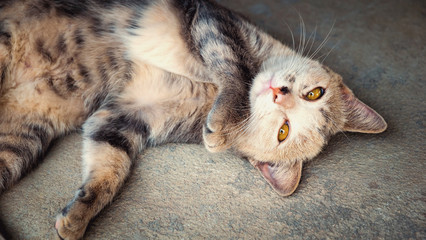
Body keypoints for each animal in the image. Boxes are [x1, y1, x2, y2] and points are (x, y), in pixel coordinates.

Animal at [0, 0, 386, 237]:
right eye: (315, 94)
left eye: (282, 132)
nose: (279, 93)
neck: (205, 92)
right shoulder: (213, 20)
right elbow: (236, 68)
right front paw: (226, 115)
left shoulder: (124, 116)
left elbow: (109, 169)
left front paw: (79, 214)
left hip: (22, 137)